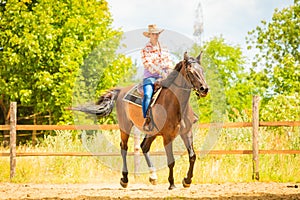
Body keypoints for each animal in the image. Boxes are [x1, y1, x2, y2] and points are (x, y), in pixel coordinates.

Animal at [74, 51, 209, 189]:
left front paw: (187, 180)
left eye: (202, 70)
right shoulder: (167, 136)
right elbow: (171, 161)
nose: (204, 89)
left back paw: (153, 177)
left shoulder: (187, 132)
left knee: (144, 147)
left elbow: (192, 156)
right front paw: (172, 184)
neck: (175, 104)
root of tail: (121, 91)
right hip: (125, 126)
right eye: (191, 71)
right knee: (124, 148)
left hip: (152, 132)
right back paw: (124, 179)